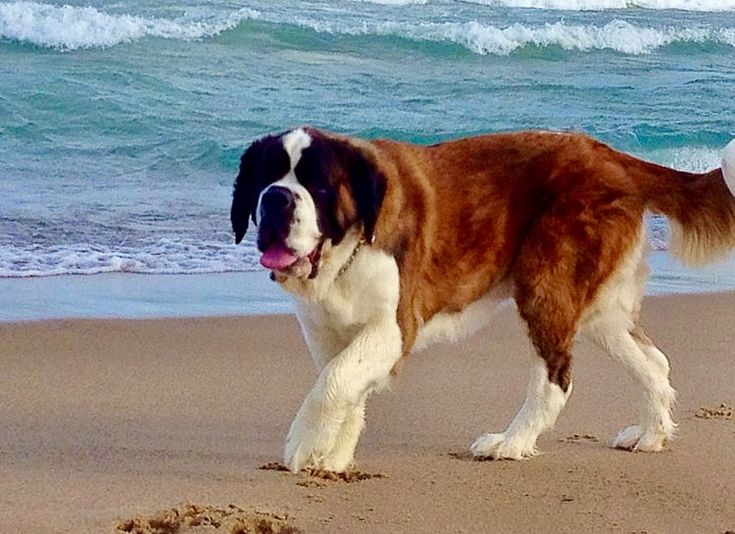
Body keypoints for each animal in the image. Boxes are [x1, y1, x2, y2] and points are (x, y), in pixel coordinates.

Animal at [231, 127, 735, 476]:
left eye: (317, 186)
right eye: (264, 178)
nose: (276, 198)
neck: (347, 246)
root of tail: (608, 154)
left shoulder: (394, 329)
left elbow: (333, 384)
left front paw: (304, 445)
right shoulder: (327, 332)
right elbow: (343, 387)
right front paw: (333, 456)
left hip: (545, 284)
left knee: (555, 379)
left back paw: (510, 444)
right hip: (601, 310)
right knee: (653, 362)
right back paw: (651, 435)